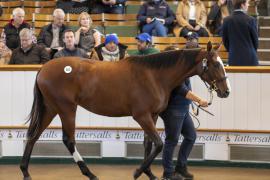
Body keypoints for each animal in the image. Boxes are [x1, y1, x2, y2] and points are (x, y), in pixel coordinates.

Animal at [19, 41, 230, 180]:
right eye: (215, 64)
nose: (225, 91)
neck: (154, 76)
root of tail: (44, 68)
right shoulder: (142, 116)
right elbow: (159, 144)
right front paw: (138, 172)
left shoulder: (152, 116)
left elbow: (148, 144)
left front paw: (149, 174)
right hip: (66, 108)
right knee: (68, 140)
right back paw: (90, 173)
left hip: (50, 108)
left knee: (33, 136)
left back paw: (26, 172)